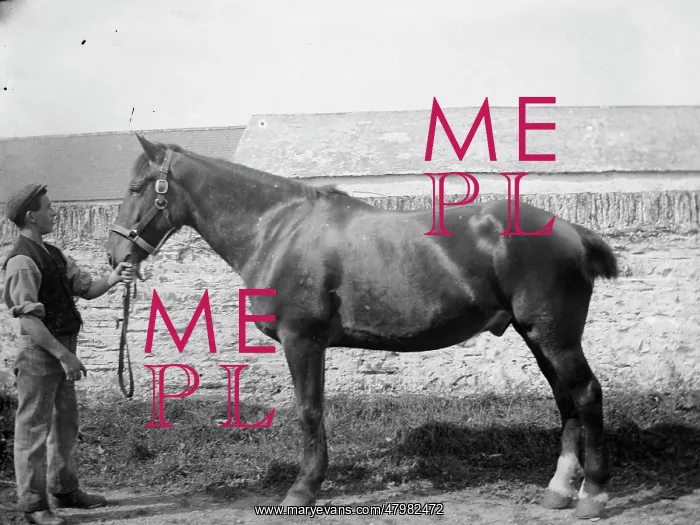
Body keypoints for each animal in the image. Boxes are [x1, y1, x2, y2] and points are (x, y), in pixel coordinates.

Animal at [106, 133, 619, 519]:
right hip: (537, 335)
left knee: (586, 395)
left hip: (553, 335)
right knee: (566, 402)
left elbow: (309, 411)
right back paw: (558, 490)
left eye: (137, 187)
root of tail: (569, 229)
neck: (278, 229)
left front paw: (303, 489)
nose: (115, 257)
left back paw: (592, 495)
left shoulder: (302, 341)